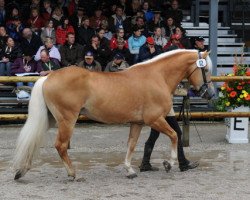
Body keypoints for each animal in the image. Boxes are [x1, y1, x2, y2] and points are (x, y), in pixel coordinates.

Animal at [12, 48, 214, 180]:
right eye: (205, 69)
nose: (210, 94)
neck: (157, 77)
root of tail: (48, 77)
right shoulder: (154, 119)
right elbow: (173, 135)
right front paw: (169, 164)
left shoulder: (137, 123)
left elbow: (132, 144)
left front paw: (130, 170)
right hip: (67, 120)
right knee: (60, 145)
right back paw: (72, 174)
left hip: (50, 119)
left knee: (33, 140)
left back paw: (21, 171)